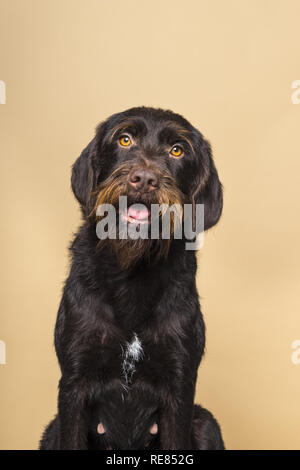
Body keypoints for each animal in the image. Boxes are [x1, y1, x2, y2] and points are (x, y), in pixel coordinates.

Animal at [39, 107, 223, 452]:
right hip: (52, 429)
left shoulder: (179, 385)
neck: (132, 271)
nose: (145, 180)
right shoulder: (74, 382)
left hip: (206, 423)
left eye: (177, 150)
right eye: (125, 139)